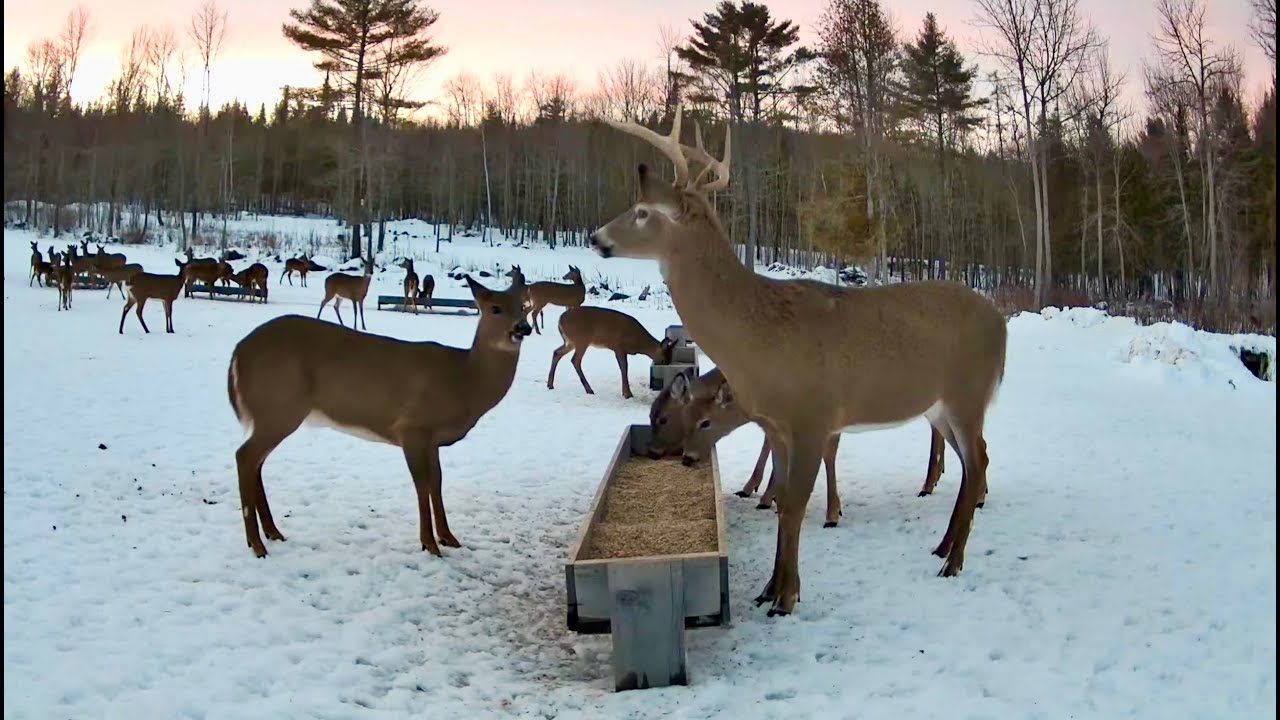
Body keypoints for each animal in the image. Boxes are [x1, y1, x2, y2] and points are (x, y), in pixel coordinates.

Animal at [226, 272, 533, 558]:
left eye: (523, 306)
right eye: (494, 308)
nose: (523, 328)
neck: (464, 380)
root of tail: (238, 353)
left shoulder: (431, 439)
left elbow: (437, 482)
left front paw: (449, 537)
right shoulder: (411, 426)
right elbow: (422, 484)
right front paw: (430, 544)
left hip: (273, 412)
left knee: (256, 462)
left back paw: (273, 533)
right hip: (279, 405)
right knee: (244, 456)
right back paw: (256, 544)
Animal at [546, 306, 676, 399]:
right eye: (663, 360)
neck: (638, 343)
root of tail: (560, 320)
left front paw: (625, 392)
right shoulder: (618, 346)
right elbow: (624, 367)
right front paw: (627, 394)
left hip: (570, 342)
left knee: (557, 352)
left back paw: (550, 385)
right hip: (581, 339)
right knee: (575, 360)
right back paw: (589, 390)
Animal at [590, 107, 1007, 616]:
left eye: (643, 211)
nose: (595, 236)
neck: (761, 339)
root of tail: (1001, 319)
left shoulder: (813, 416)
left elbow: (794, 506)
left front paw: (786, 599)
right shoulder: (779, 425)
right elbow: (783, 501)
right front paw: (769, 588)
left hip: (968, 392)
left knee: (978, 460)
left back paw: (953, 562)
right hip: (941, 406)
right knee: (974, 461)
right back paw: (943, 547)